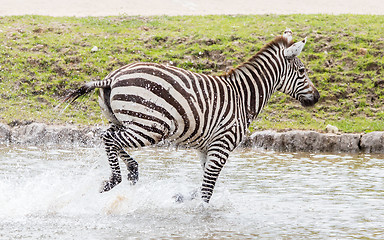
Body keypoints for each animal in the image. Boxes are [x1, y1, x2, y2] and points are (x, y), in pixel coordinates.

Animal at [65, 29, 318, 203]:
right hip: (150, 127)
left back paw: (132, 172)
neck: (242, 97)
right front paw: (201, 213)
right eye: (302, 71)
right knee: (111, 139)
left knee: (108, 137)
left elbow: (203, 182)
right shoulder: (222, 145)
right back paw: (113, 180)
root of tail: (112, 78)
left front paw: (183, 197)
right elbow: (207, 189)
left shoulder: (206, 147)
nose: (316, 98)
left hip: (126, 122)